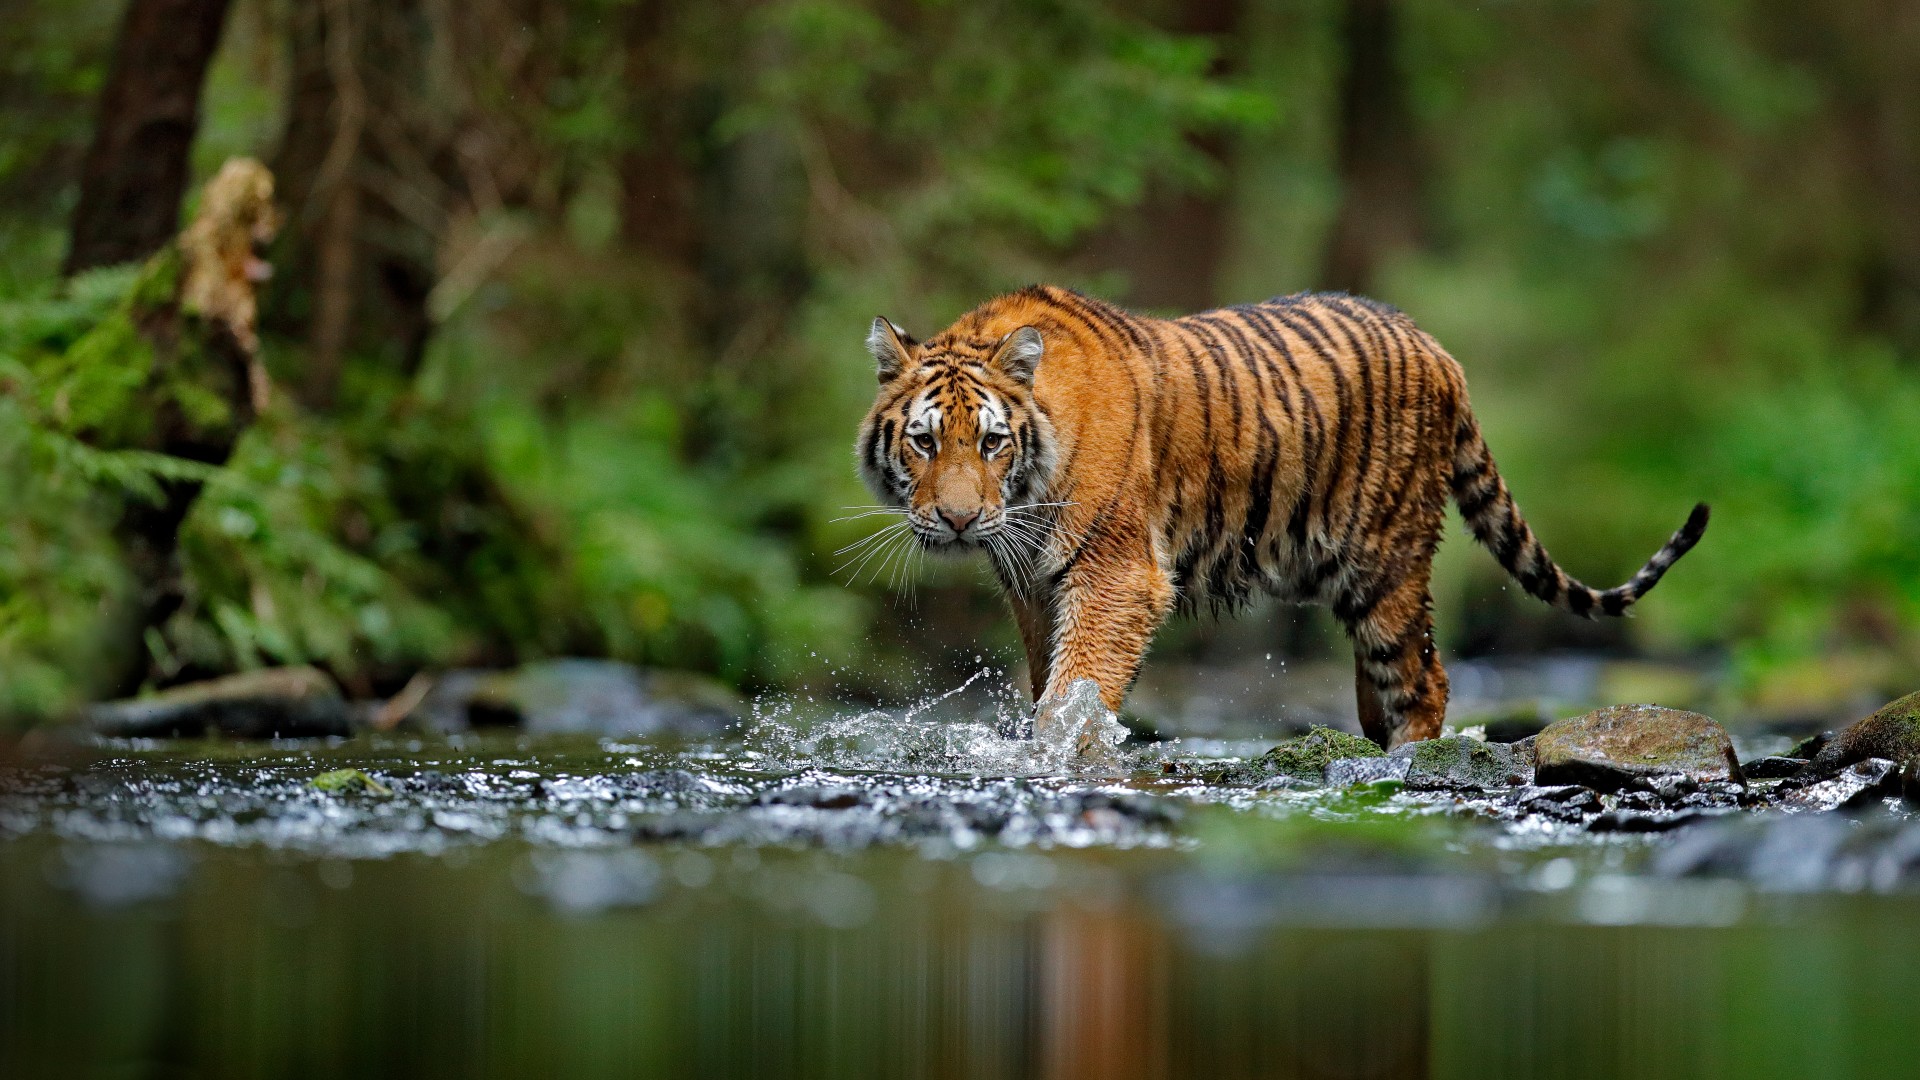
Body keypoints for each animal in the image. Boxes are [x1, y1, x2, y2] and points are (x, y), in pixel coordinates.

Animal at [856, 282, 1712, 745]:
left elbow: (1076, 690)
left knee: (1424, 678)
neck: (1027, 493)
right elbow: (1050, 682)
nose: (959, 521)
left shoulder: (1115, 575)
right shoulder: (1034, 585)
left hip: (1387, 563)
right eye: (925, 442)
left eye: (992, 442)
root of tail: (1439, 349)